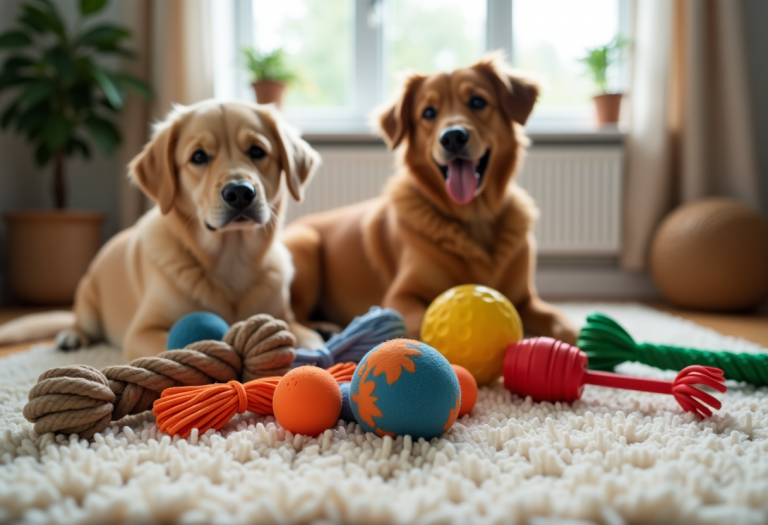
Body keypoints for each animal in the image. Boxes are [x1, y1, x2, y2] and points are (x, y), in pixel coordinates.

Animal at [0, 100, 324, 358]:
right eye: (198, 157)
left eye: (257, 151)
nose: (240, 193)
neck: (231, 259)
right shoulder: (142, 331)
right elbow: (176, 344)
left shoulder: (285, 317)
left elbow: (308, 335)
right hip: (88, 296)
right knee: (79, 323)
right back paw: (72, 336)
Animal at [284, 55, 580, 344]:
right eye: (428, 113)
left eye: (478, 102)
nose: (453, 137)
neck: (474, 218)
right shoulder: (401, 295)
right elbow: (419, 322)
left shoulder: (528, 301)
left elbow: (565, 325)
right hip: (305, 244)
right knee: (288, 312)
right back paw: (319, 331)